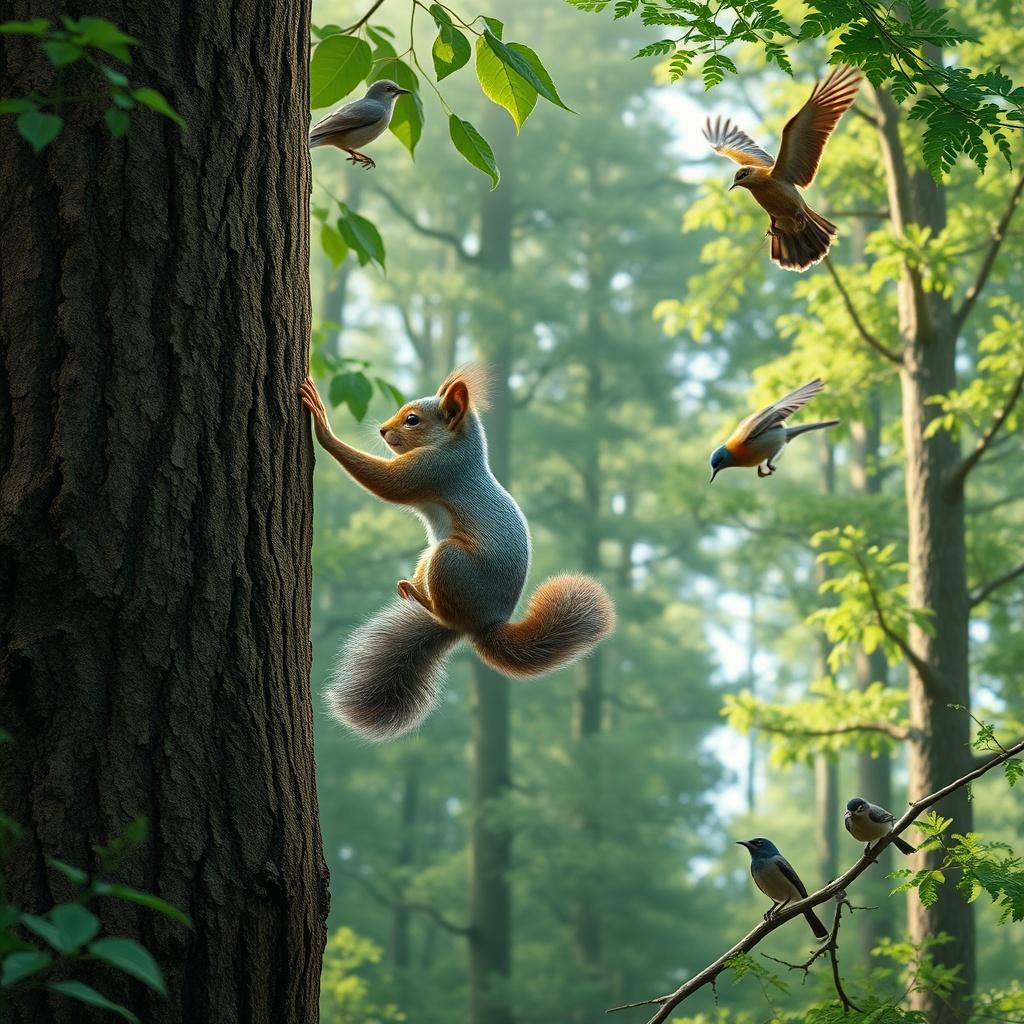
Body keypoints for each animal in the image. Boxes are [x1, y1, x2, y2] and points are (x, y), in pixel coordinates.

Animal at [299, 365, 615, 740]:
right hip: (431, 555)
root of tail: (482, 624)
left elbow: (389, 483)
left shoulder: (437, 468)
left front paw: (322, 424)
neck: (458, 447)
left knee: (445, 611)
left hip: (450, 560)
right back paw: (412, 588)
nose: (382, 430)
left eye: (412, 420)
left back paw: (424, 601)